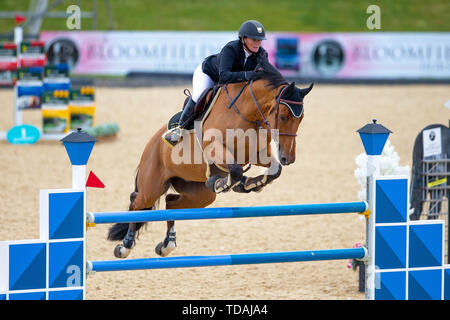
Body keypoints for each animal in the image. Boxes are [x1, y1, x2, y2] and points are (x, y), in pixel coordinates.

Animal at [108, 59, 312, 260]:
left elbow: (274, 170)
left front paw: (250, 184)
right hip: (152, 186)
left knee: (171, 201)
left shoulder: (257, 153)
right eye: (283, 116)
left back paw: (167, 244)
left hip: (200, 194)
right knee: (137, 202)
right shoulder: (215, 149)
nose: (288, 157)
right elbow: (236, 170)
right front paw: (223, 183)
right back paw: (125, 246)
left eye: (301, 118)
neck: (248, 113)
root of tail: (151, 143)